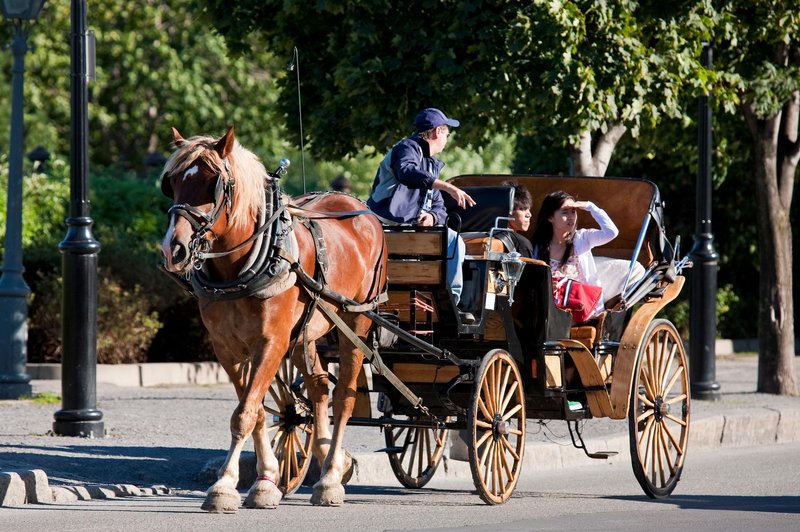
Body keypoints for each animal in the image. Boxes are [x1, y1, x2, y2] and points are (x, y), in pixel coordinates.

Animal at [159, 125, 388, 512]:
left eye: (212, 183)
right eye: (172, 183)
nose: (172, 249)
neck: (240, 267)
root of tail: (361, 208)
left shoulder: (271, 342)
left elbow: (244, 414)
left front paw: (224, 486)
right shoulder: (227, 349)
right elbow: (255, 412)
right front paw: (265, 480)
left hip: (355, 323)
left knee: (344, 396)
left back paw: (330, 478)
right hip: (304, 333)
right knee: (319, 387)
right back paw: (327, 460)